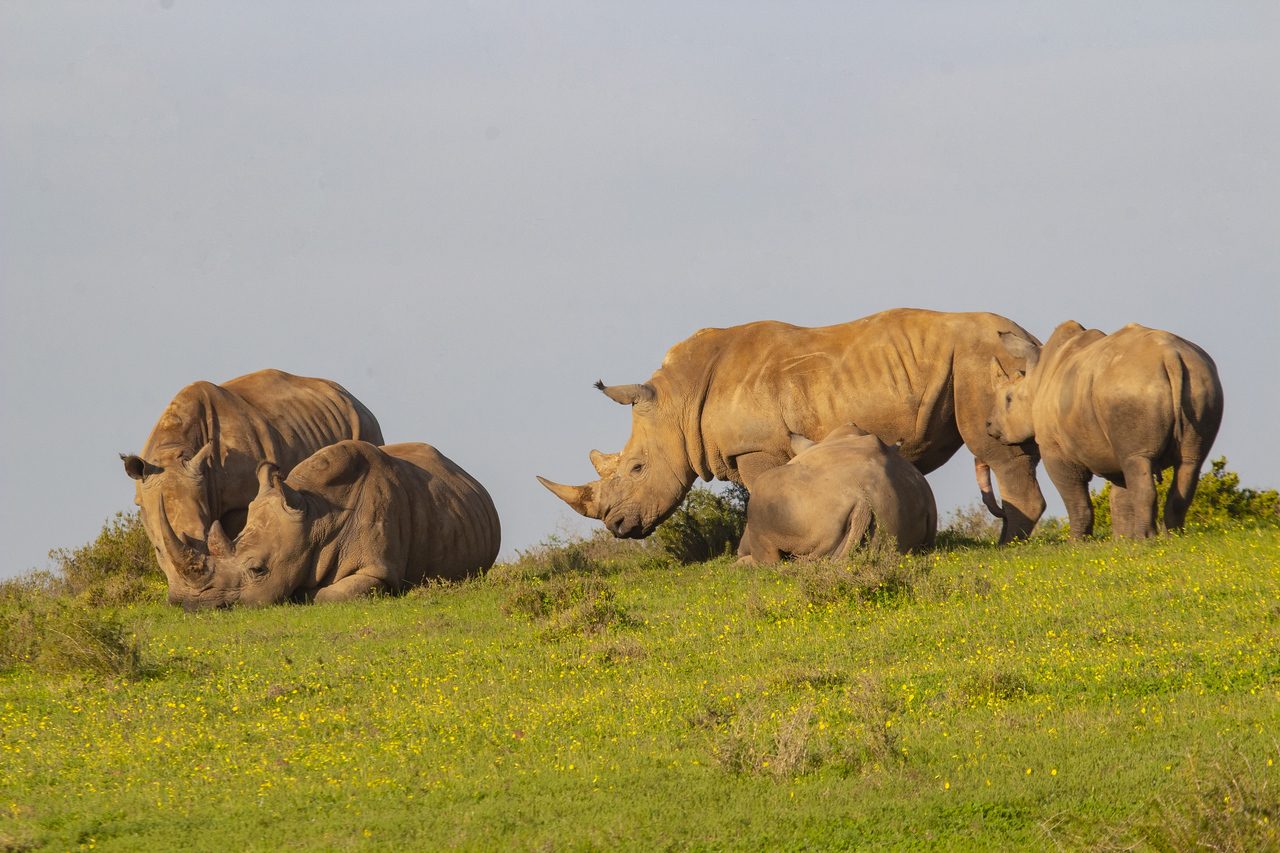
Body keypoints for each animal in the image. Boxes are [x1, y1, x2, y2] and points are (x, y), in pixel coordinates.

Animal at [121, 369, 384, 605]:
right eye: (157, 550)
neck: (173, 452)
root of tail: (351, 397)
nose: (186, 599)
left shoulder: (239, 502)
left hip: (365, 423)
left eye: (205, 536)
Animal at [185, 441, 500, 608]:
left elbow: (332, 595)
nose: (195, 604)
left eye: (258, 570)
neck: (316, 517)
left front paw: (302, 594)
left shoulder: (378, 570)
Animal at [539, 309, 1045, 543]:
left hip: (981, 358)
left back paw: (1008, 545)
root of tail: (1031, 336)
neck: (678, 400)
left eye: (638, 468)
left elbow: (762, 494)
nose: (616, 526)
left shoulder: (757, 448)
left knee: (996, 447)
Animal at [987, 321, 1223, 539]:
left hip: (1132, 388)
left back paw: (1147, 540)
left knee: (1140, 461)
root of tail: (1171, 356)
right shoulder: (1111, 446)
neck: (1036, 379)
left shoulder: (1054, 448)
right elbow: (1121, 495)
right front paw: (1123, 541)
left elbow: (1075, 498)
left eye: (1008, 399)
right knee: (1189, 463)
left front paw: (1078, 543)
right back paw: (1172, 537)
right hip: (1201, 382)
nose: (989, 426)